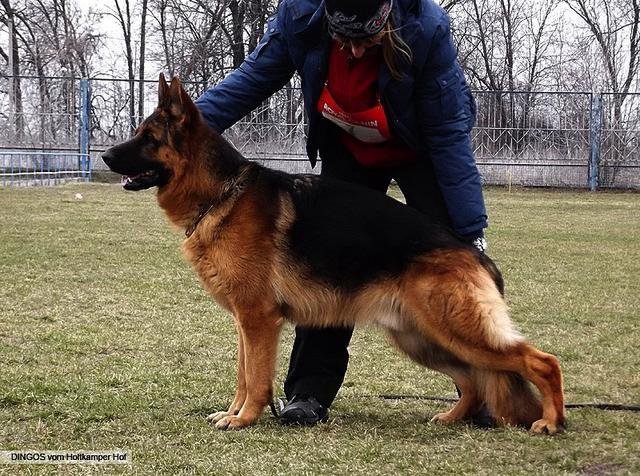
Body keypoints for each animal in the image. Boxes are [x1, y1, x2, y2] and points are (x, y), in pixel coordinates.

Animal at [102, 75, 568, 436]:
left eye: (148, 138)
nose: (104, 156)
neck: (221, 193)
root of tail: (475, 256)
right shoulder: (244, 322)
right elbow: (242, 375)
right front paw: (233, 412)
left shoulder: (258, 320)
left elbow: (256, 378)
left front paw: (245, 419)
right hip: (423, 339)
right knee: (473, 381)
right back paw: (454, 417)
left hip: (456, 331)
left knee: (541, 362)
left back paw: (551, 421)